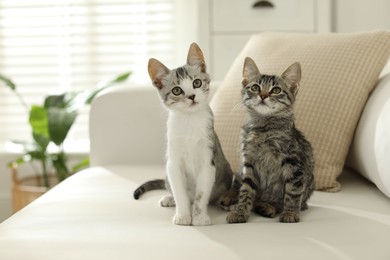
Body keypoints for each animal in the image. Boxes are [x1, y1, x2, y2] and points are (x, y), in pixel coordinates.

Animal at [133, 42, 233, 225]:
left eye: (197, 82)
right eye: (177, 91)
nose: (191, 96)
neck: (189, 121)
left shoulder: (208, 160)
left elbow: (201, 195)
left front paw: (199, 217)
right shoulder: (173, 162)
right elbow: (180, 192)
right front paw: (183, 215)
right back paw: (169, 198)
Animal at [222, 57, 314, 223]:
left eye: (276, 90)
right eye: (255, 87)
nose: (263, 95)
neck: (263, 129)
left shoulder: (294, 163)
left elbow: (293, 191)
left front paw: (290, 212)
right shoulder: (249, 163)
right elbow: (245, 191)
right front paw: (240, 212)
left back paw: (267, 207)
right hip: (240, 169)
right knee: (238, 184)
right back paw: (229, 197)